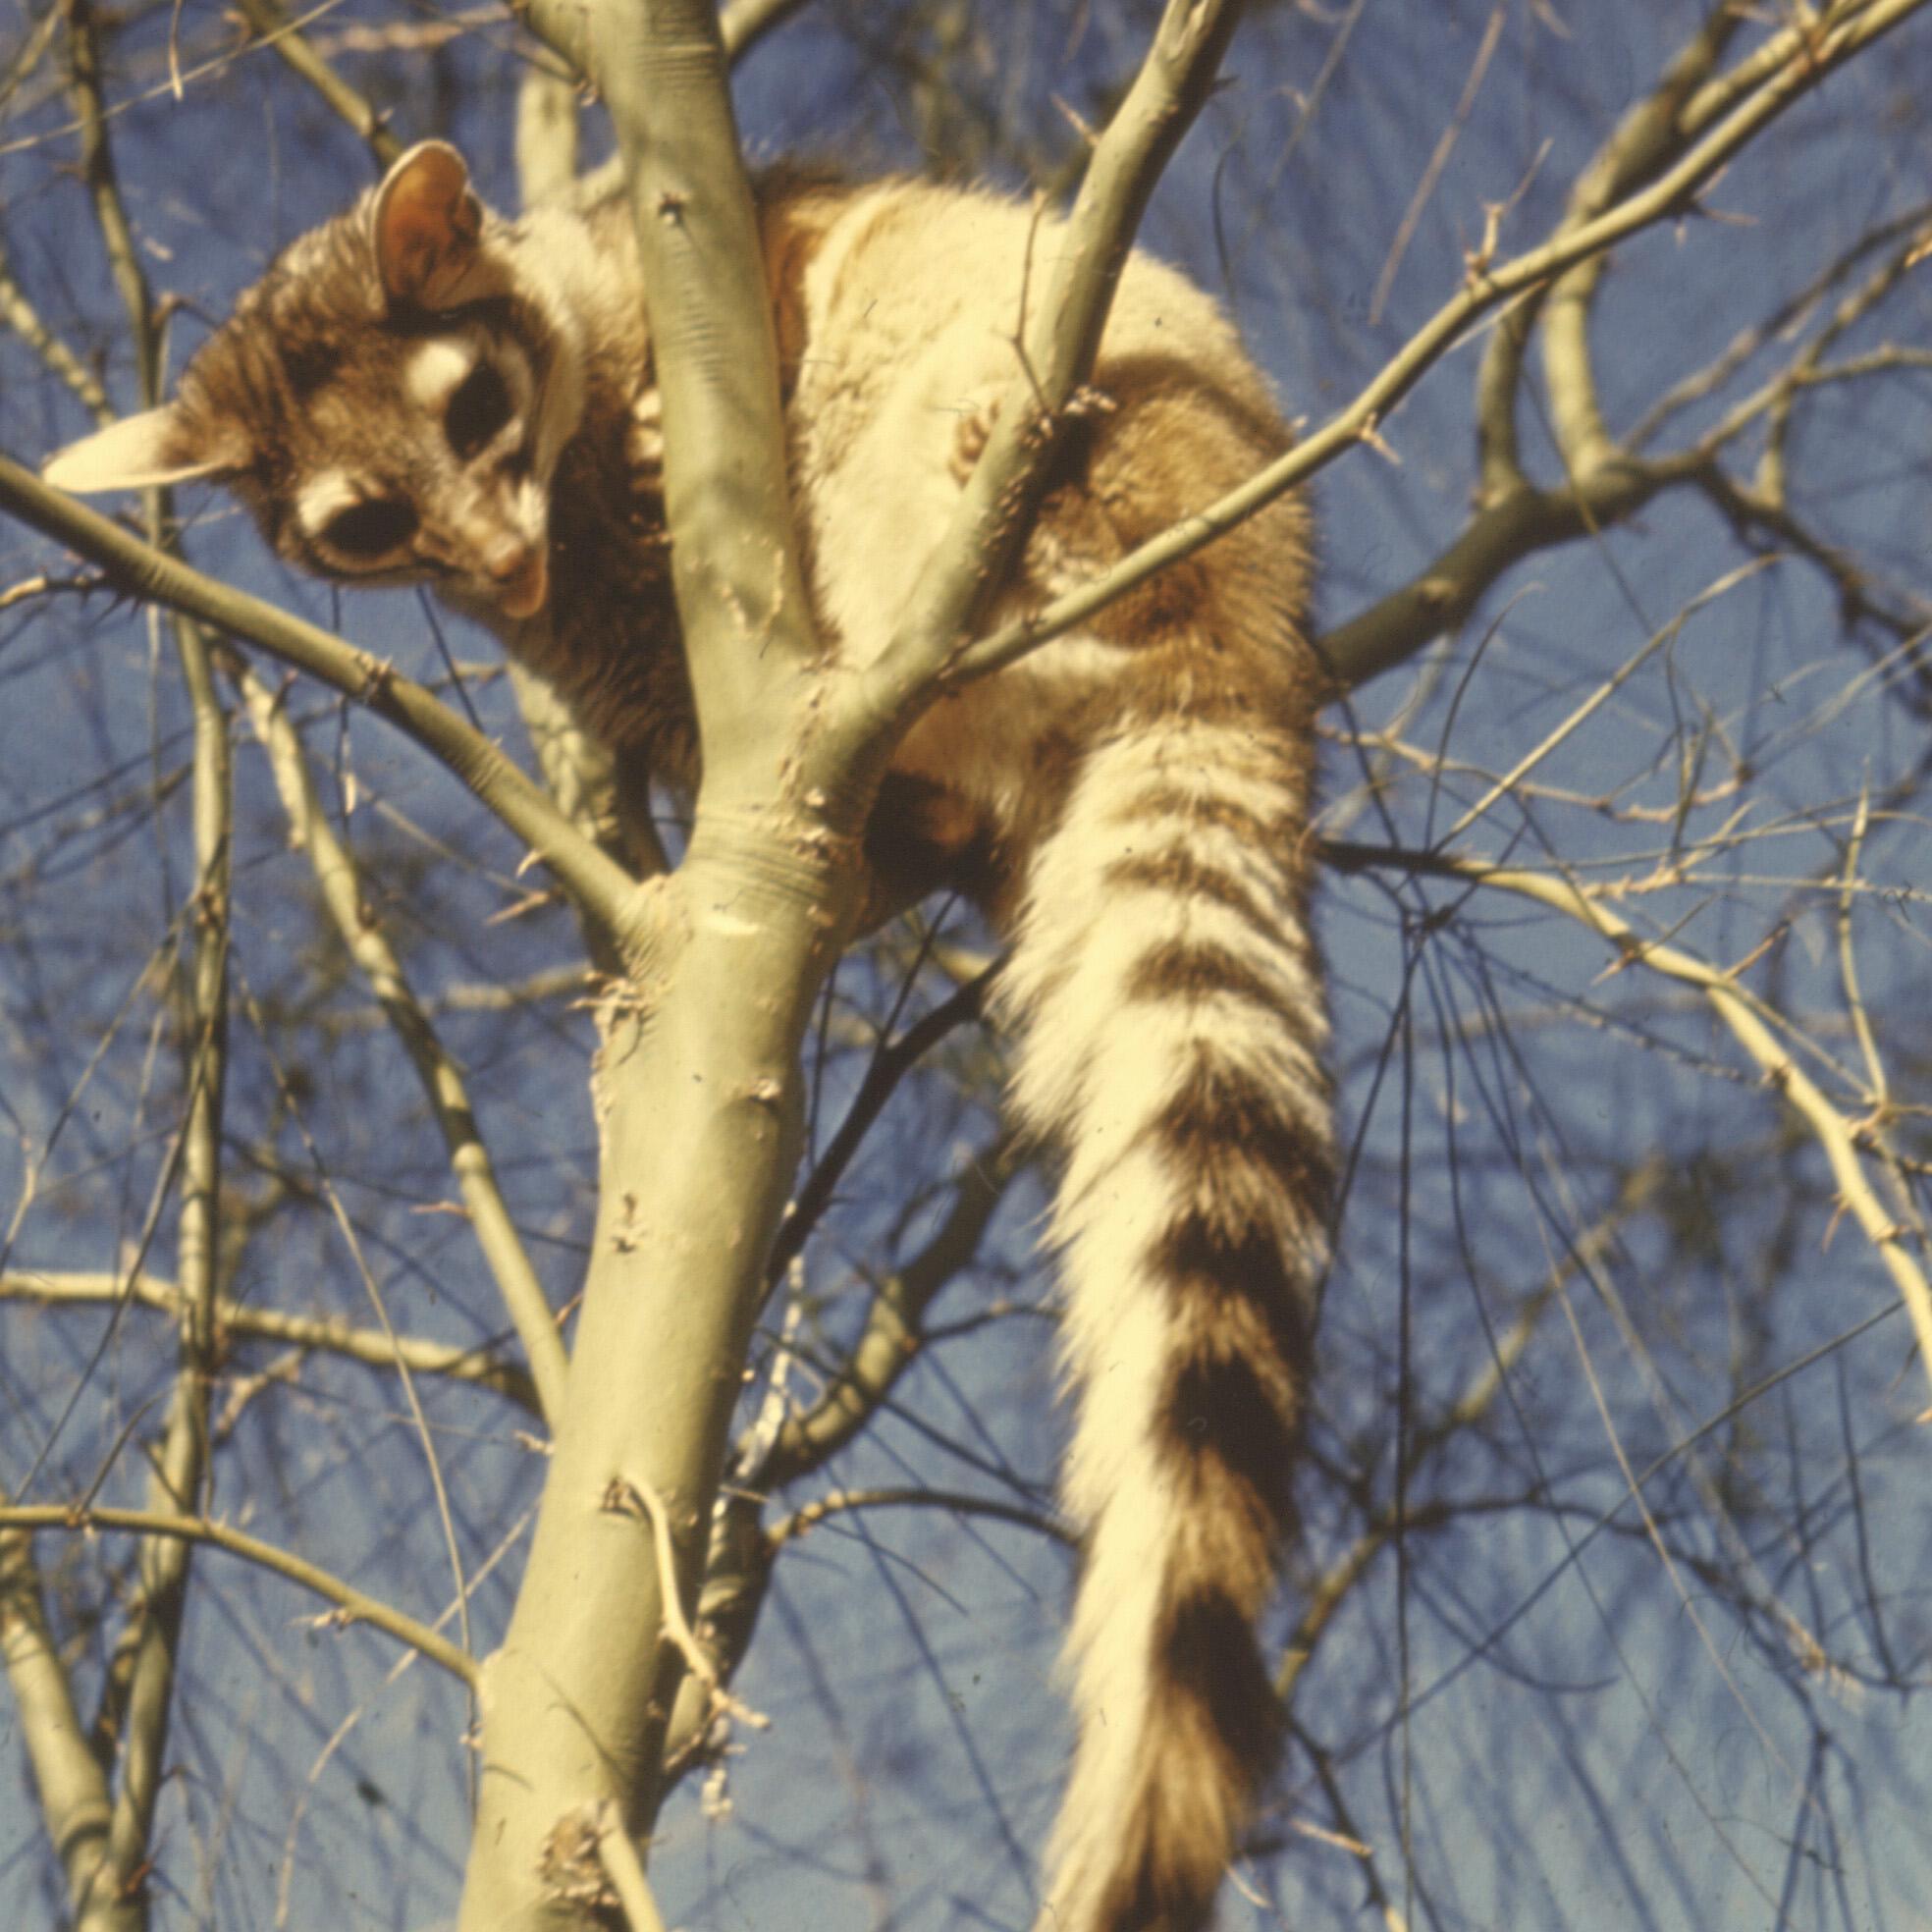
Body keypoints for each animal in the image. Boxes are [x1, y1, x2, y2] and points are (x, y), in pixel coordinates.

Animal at [46, 141, 1333, 1932]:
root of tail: (1240, 635)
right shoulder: (589, 628)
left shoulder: (708, 274)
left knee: (943, 383)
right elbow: (627, 672)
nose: (500, 566)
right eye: (366, 526)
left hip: (1134, 414)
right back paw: (914, 807)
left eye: (471, 411)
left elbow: (787, 267)